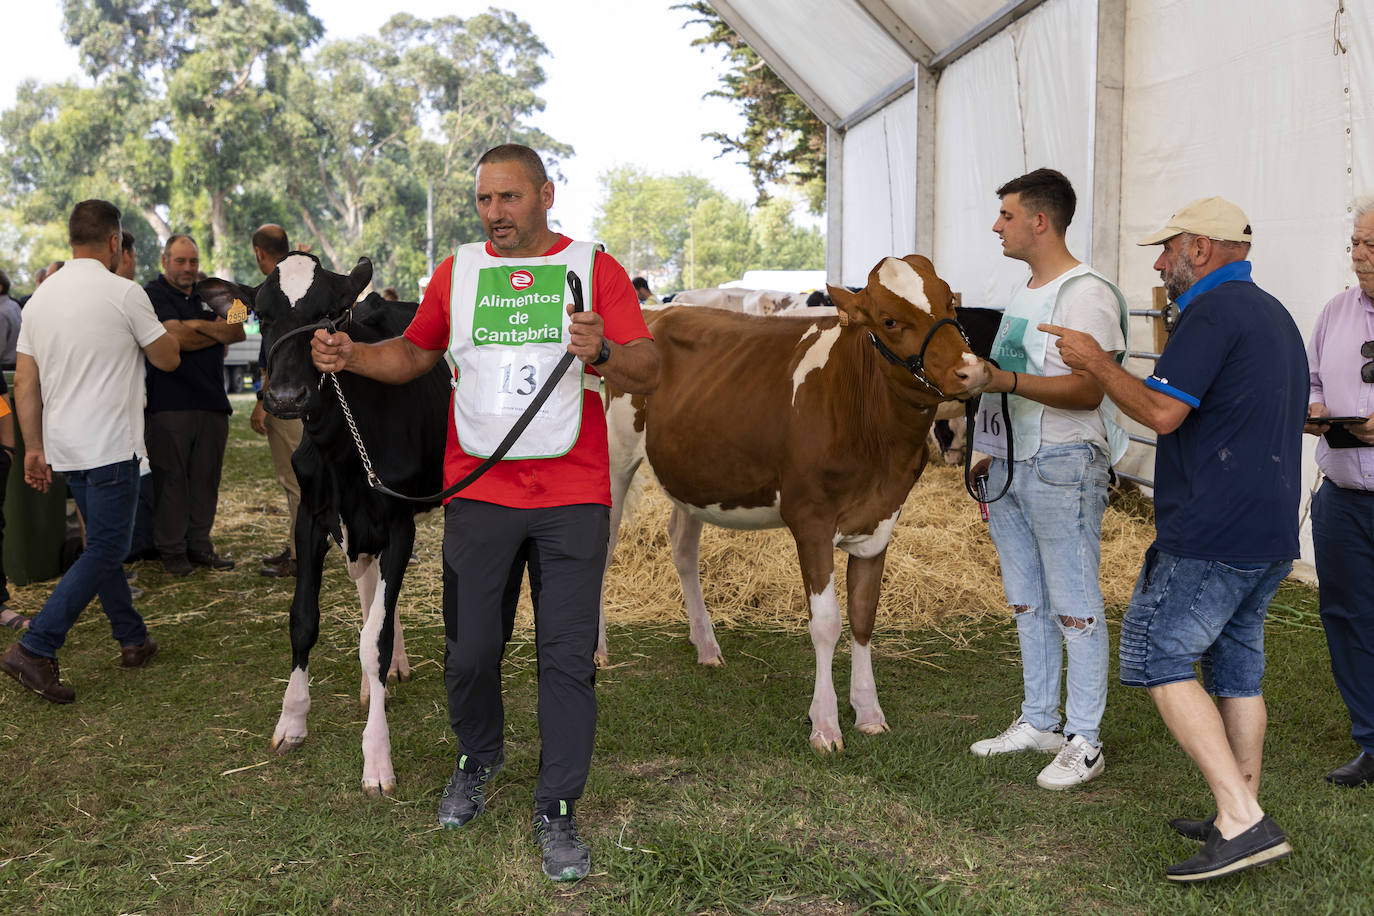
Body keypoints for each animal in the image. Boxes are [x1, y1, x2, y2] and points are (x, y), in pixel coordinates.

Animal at [244, 251, 442, 796]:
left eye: (332, 315)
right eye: (262, 315)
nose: (285, 397)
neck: (341, 450)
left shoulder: (399, 522)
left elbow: (371, 640)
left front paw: (377, 759)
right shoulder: (311, 517)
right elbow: (303, 620)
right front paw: (292, 721)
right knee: (371, 591)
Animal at [601, 256, 989, 752]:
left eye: (950, 304)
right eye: (889, 320)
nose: (971, 371)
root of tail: (662, 313)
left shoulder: (881, 518)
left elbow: (864, 615)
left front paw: (869, 713)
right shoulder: (811, 520)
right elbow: (826, 623)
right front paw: (825, 726)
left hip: (694, 475)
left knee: (683, 545)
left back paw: (706, 646)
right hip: (617, 453)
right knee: (604, 547)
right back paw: (598, 651)